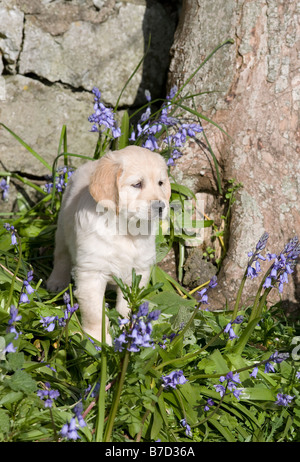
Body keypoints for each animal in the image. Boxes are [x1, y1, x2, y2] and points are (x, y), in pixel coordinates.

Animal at [48, 146, 172, 344]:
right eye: (137, 184)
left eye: (161, 183)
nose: (161, 207)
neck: (125, 229)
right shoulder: (91, 273)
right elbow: (95, 312)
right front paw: (98, 339)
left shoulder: (138, 271)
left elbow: (126, 306)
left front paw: (126, 332)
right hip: (62, 230)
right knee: (61, 257)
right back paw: (57, 282)